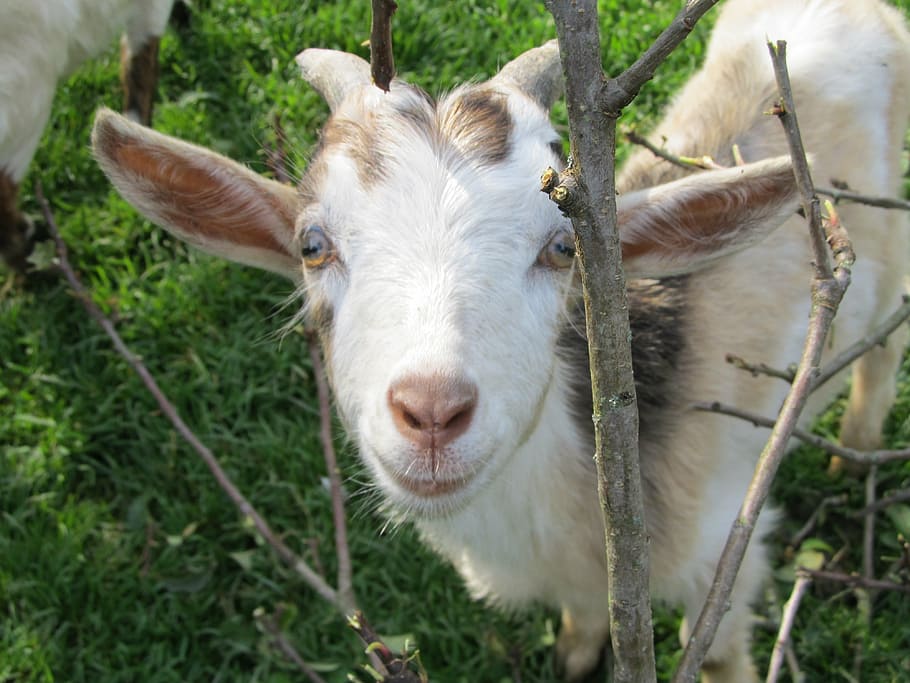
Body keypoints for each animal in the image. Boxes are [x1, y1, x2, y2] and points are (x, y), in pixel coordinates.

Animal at [87, 0, 910, 680]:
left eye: (564, 246)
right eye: (311, 244)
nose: (432, 411)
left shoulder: (721, 551)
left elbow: (717, 655)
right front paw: (575, 653)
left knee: (883, 342)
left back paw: (858, 446)